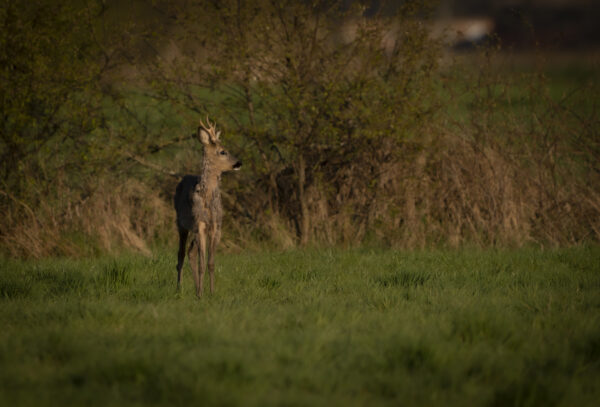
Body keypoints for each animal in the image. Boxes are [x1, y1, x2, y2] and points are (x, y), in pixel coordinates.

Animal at [173, 117, 241, 296]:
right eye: (222, 151)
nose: (239, 162)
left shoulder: (216, 225)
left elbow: (210, 263)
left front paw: (210, 292)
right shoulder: (200, 224)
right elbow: (202, 263)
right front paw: (201, 294)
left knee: (190, 252)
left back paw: (196, 287)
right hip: (181, 224)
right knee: (181, 255)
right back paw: (179, 288)